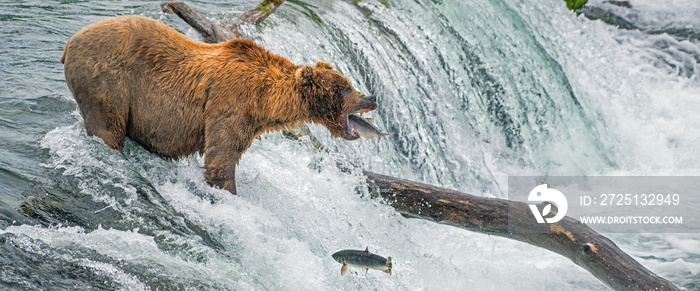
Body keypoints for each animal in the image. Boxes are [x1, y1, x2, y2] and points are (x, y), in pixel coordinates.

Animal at [60, 15, 378, 194]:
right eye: (347, 87)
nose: (372, 97)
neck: (265, 102)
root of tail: (70, 41)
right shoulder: (230, 104)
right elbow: (222, 157)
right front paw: (226, 189)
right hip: (108, 81)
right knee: (108, 127)